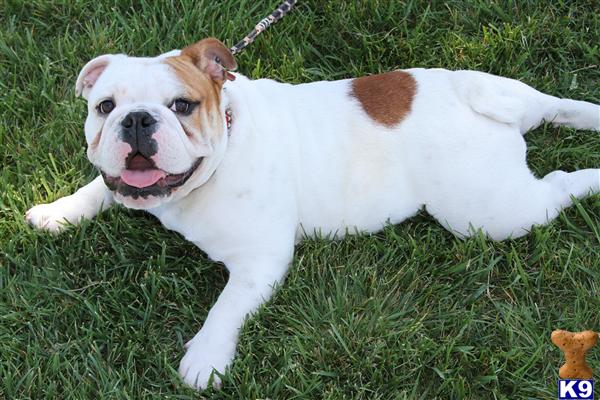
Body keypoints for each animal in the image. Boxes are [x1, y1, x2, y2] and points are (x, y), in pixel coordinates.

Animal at [24, 39, 600, 390]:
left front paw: (205, 358)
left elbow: (225, 308)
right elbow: (98, 188)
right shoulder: (119, 180)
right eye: (105, 107)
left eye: (182, 106)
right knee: (558, 106)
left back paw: (593, 176)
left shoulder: (259, 261)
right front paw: (60, 212)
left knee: (557, 185)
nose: (138, 120)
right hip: (502, 95)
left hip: (489, 212)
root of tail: (482, 106)